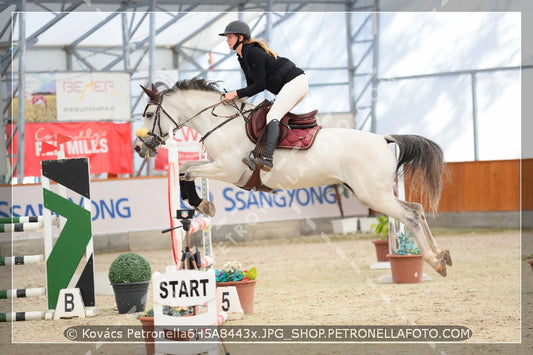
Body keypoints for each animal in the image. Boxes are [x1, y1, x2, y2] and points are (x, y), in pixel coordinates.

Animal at [131, 78, 450, 278]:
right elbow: (186, 168)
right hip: (379, 193)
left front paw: (200, 202)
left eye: (148, 113)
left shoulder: (229, 171)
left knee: (410, 216)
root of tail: (384, 139)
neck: (220, 123)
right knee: (418, 210)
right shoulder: (217, 165)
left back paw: (434, 261)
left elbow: (189, 170)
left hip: (373, 195)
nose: (138, 147)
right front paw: (201, 203)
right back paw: (442, 255)